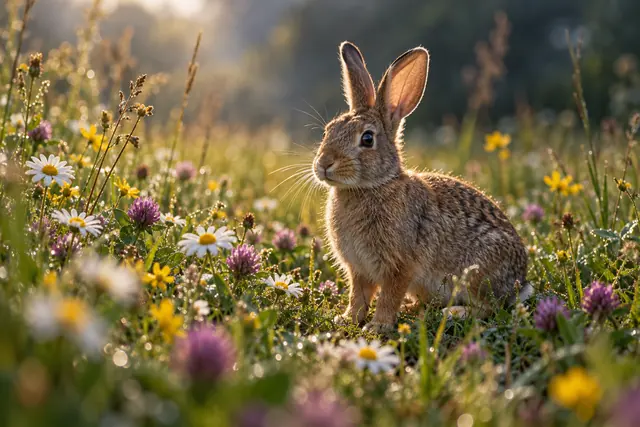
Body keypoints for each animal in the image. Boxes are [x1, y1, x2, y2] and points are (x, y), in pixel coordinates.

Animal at [312, 41, 531, 334]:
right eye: (328, 131)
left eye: (367, 139)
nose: (324, 164)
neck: (370, 187)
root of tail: (519, 282)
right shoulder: (358, 269)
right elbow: (358, 296)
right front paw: (348, 319)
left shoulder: (399, 266)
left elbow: (388, 295)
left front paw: (378, 326)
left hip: (476, 273)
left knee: (489, 308)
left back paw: (453, 312)